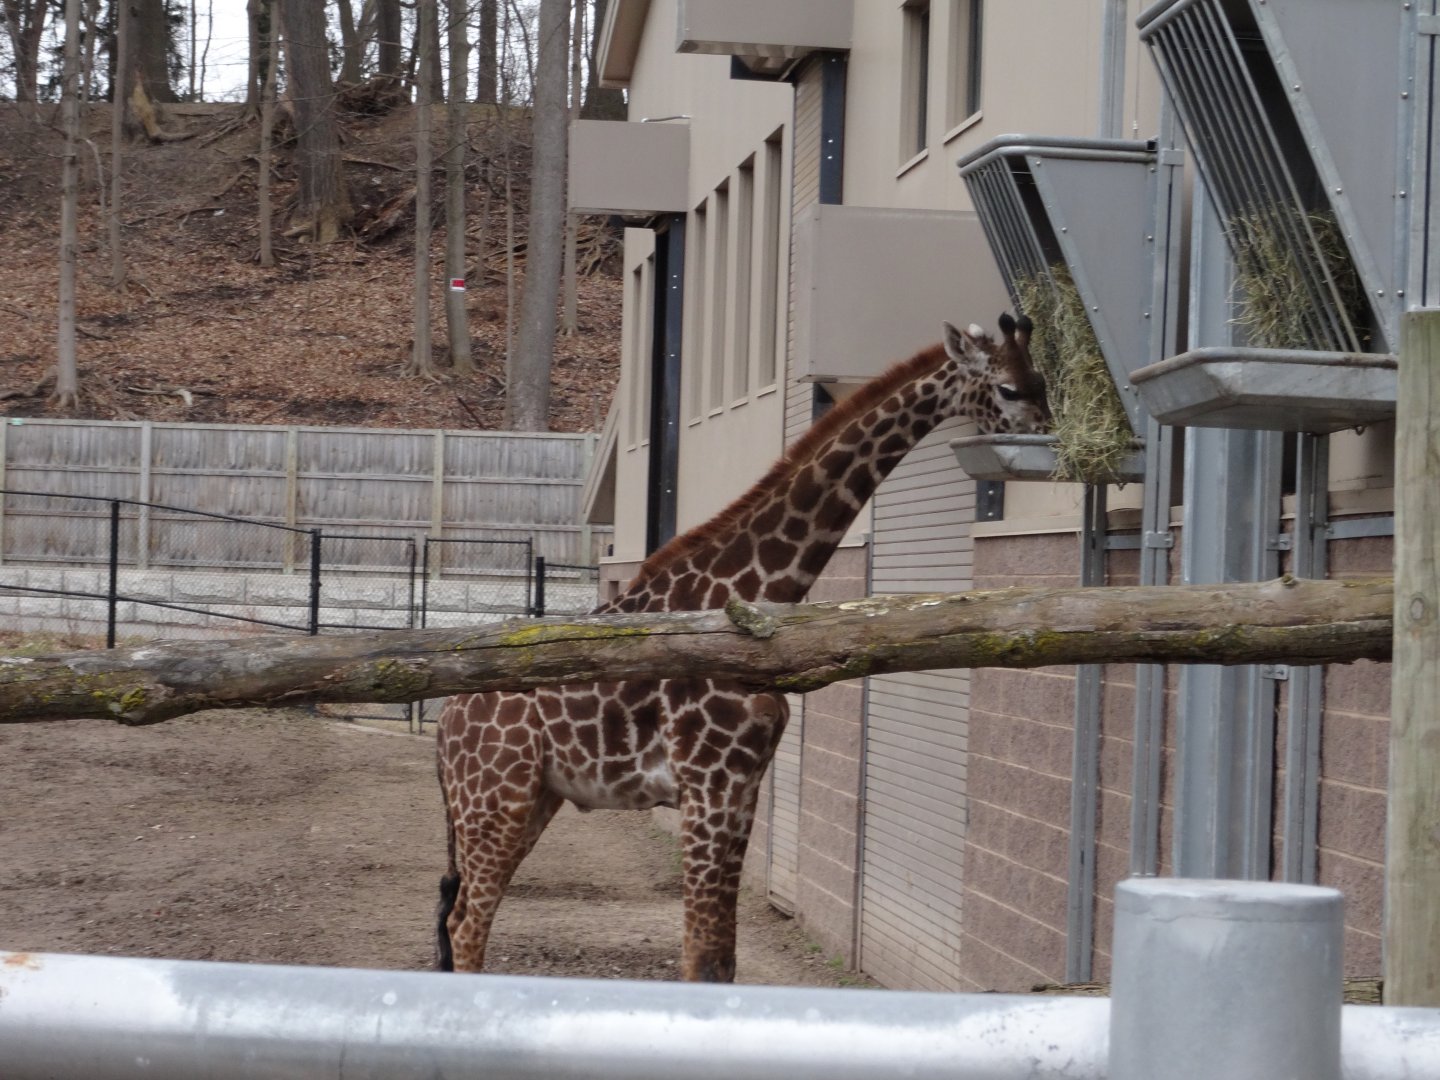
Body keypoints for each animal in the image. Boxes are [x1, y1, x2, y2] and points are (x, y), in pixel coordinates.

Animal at [434, 314, 1048, 982]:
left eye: (1043, 380)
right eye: (1010, 389)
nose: (1052, 438)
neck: (755, 592)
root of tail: (444, 719)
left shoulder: (745, 785)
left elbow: (722, 957)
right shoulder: (709, 782)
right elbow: (700, 954)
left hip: (532, 798)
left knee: (457, 916)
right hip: (496, 796)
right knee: (467, 925)